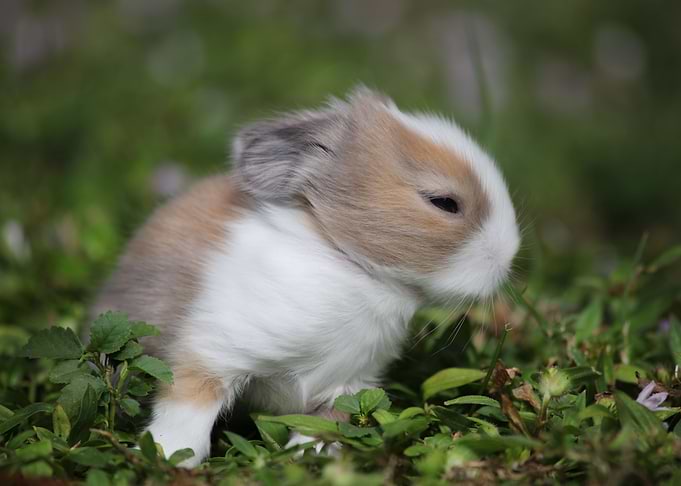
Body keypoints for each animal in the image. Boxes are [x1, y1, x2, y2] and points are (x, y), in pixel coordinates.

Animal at [92, 87, 520, 467]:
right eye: (444, 203)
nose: (509, 254)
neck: (347, 264)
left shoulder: (348, 385)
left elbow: (326, 424)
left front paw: (308, 457)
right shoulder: (213, 350)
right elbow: (188, 406)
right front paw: (167, 456)